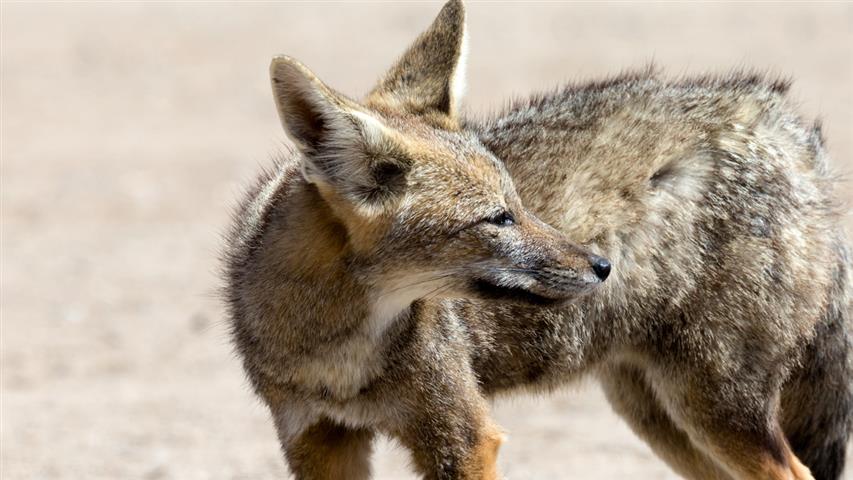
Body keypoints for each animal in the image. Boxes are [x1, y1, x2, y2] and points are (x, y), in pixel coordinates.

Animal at [223, 1, 853, 479]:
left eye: (519, 205)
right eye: (498, 219)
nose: (602, 266)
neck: (336, 354)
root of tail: (778, 116)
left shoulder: (462, 435)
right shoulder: (315, 438)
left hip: (715, 408)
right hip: (663, 415)